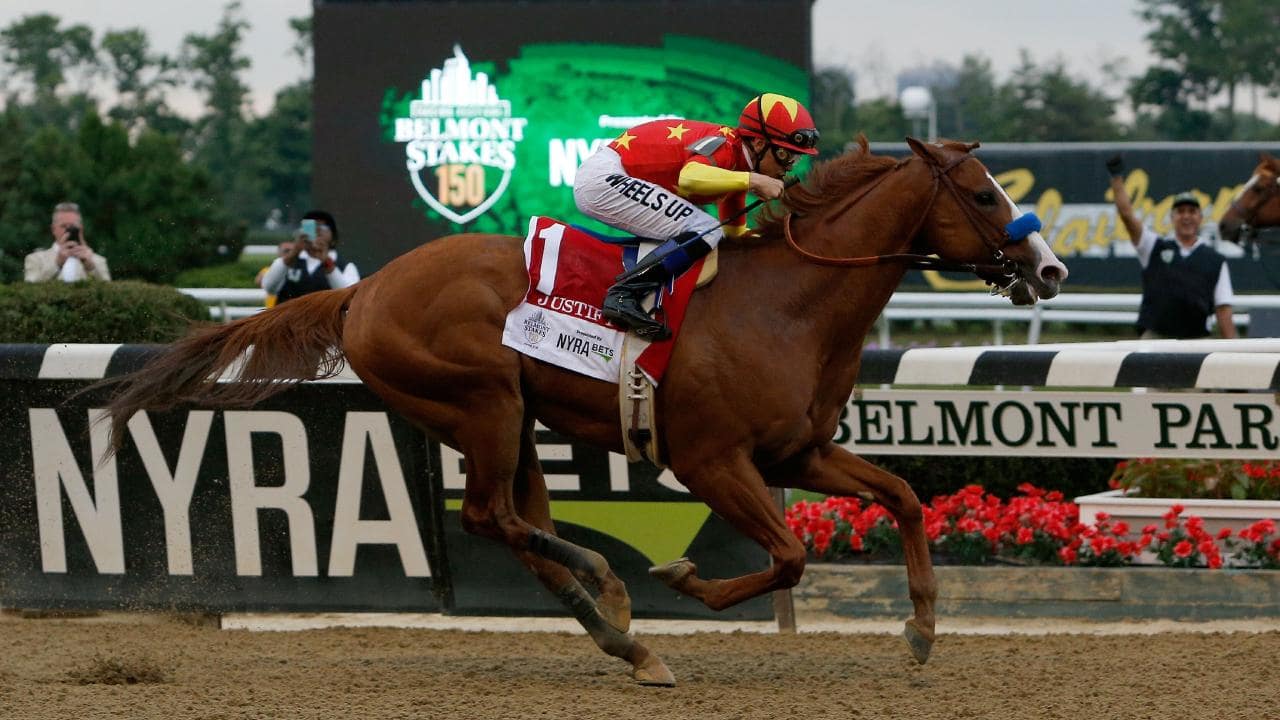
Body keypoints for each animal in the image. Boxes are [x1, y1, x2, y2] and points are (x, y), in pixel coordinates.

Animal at [100, 137, 1067, 686]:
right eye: (986, 195)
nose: (1050, 270)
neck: (786, 304)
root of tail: (360, 291)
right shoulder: (712, 460)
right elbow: (790, 555)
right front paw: (683, 579)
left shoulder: (797, 454)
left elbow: (902, 499)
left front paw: (923, 629)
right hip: (482, 401)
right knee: (490, 517)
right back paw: (614, 593)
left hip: (510, 418)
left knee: (514, 525)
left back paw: (620, 634)